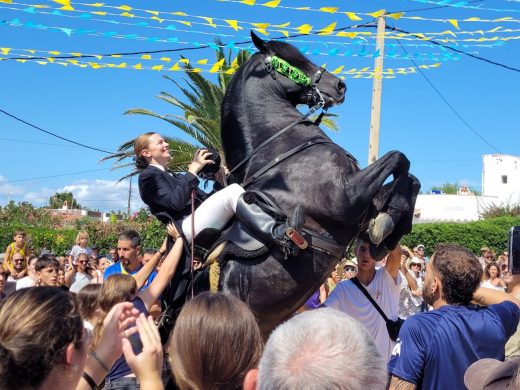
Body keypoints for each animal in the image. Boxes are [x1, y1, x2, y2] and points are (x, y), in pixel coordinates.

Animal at [209, 32, 420, 334]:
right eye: (292, 61)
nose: (340, 85)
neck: (281, 149)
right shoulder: (345, 197)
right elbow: (398, 158)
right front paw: (386, 228)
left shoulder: (364, 203)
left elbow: (410, 179)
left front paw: (390, 227)